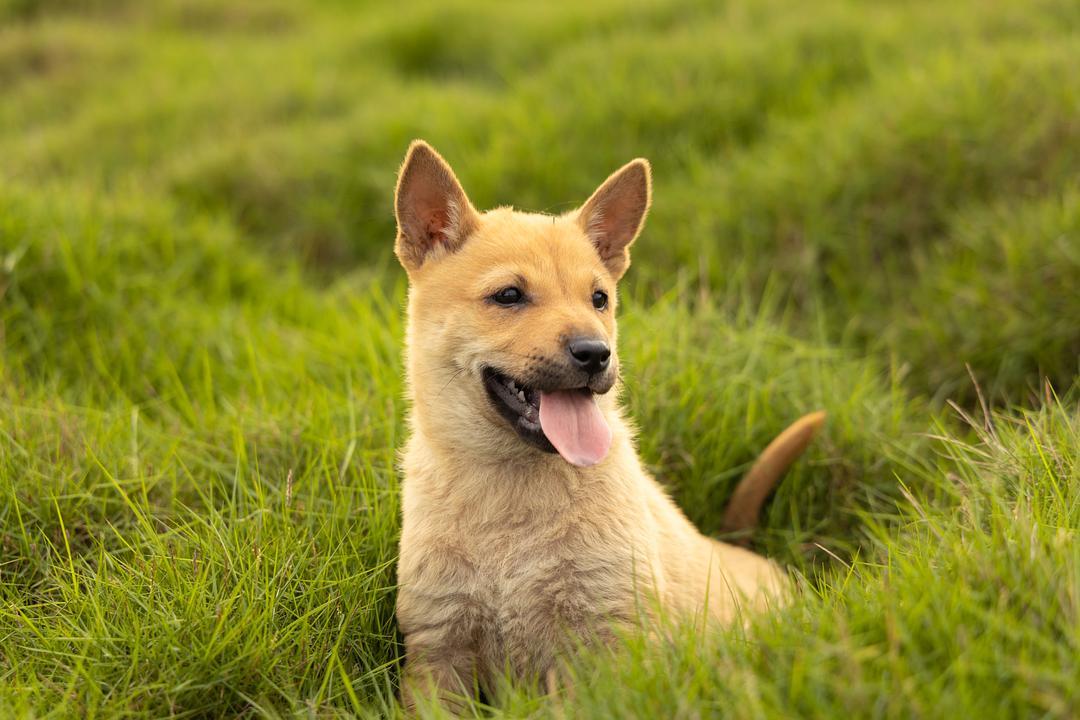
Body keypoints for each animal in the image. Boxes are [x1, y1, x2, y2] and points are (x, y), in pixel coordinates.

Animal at [393, 140, 820, 708]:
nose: (596, 353)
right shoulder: (438, 650)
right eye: (508, 295)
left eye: (600, 299)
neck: (512, 497)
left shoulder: (605, 644)